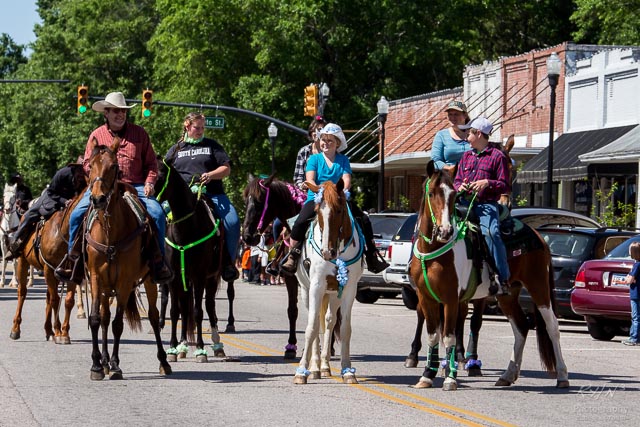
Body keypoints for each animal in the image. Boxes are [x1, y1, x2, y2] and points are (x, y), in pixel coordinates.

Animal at [85, 140, 171, 382]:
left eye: (113, 166)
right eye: (89, 165)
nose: (98, 199)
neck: (110, 231)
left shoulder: (124, 281)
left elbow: (118, 323)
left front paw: (115, 365)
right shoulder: (96, 278)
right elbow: (96, 319)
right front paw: (97, 365)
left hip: (150, 280)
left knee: (153, 316)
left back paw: (164, 362)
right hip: (106, 287)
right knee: (104, 317)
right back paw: (104, 361)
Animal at [152, 155, 228, 362]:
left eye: (160, 174)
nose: (148, 193)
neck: (186, 228)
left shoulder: (200, 275)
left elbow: (198, 311)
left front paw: (201, 349)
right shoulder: (175, 277)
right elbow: (175, 311)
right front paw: (172, 348)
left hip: (211, 278)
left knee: (209, 306)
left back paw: (217, 345)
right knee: (184, 308)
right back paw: (183, 345)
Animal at [292, 179, 362, 386]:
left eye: (339, 210)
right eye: (317, 211)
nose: (326, 252)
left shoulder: (349, 289)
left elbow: (345, 329)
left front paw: (348, 372)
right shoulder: (316, 287)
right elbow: (312, 327)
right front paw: (301, 372)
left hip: (333, 294)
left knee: (329, 322)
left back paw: (324, 366)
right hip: (306, 291)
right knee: (315, 322)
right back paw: (314, 368)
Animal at [408, 160, 568, 392]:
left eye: (453, 195)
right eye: (431, 193)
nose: (446, 231)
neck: (434, 251)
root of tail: (539, 236)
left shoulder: (451, 299)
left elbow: (449, 337)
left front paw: (450, 379)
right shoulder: (426, 297)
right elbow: (432, 336)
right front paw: (427, 376)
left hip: (538, 287)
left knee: (552, 327)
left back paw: (563, 376)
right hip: (508, 295)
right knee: (521, 327)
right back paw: (507, 375)